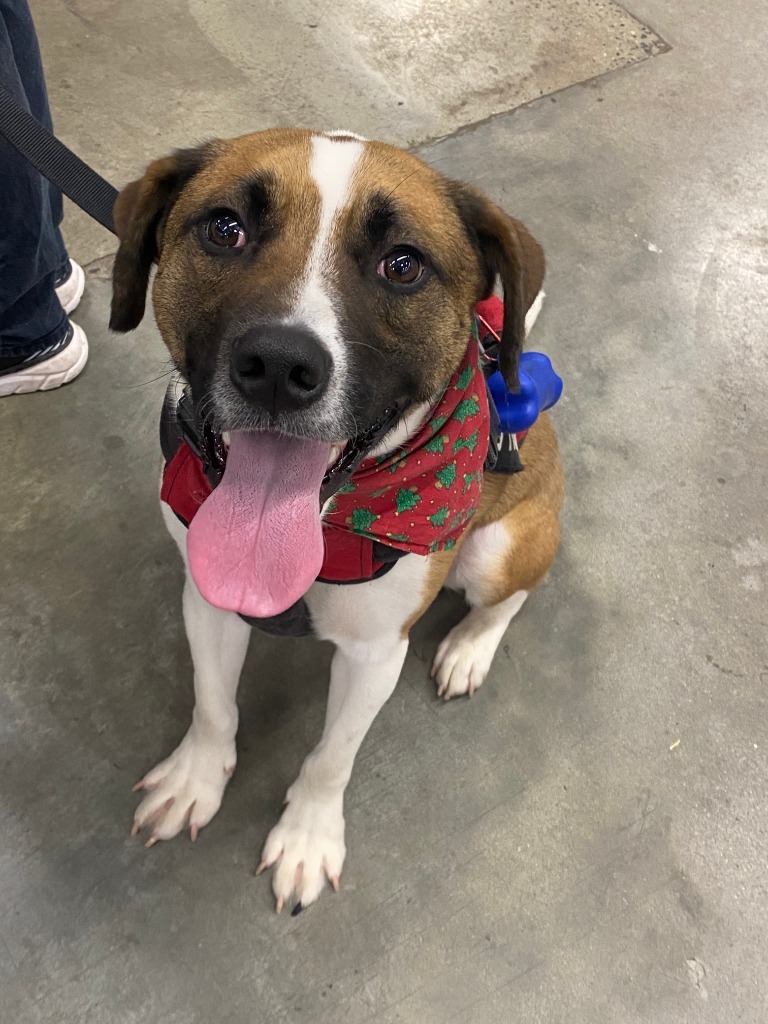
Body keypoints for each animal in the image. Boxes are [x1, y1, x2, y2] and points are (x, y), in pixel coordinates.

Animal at [109, 125, 565, 913]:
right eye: (225, 228)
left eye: (403, 265)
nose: (277, 366)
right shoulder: (207, 599)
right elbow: (212, 704)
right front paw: (196, 780)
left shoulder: (375, 653)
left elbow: (332, 757)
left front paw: (307, 838)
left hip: (501, 549)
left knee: (510, 595)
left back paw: (469, 647)